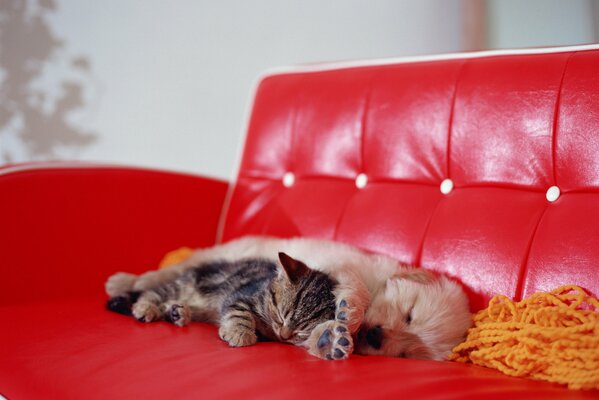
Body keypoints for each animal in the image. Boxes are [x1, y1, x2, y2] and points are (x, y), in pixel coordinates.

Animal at [106, 252, 354, 358]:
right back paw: (147, 307)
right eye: (280, 315)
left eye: (302, 330)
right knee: (154, 292)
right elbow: (240, 312)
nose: (284, 334)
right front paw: (240, 332)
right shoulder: (239, 296)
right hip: (185, 285)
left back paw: (177, 312)